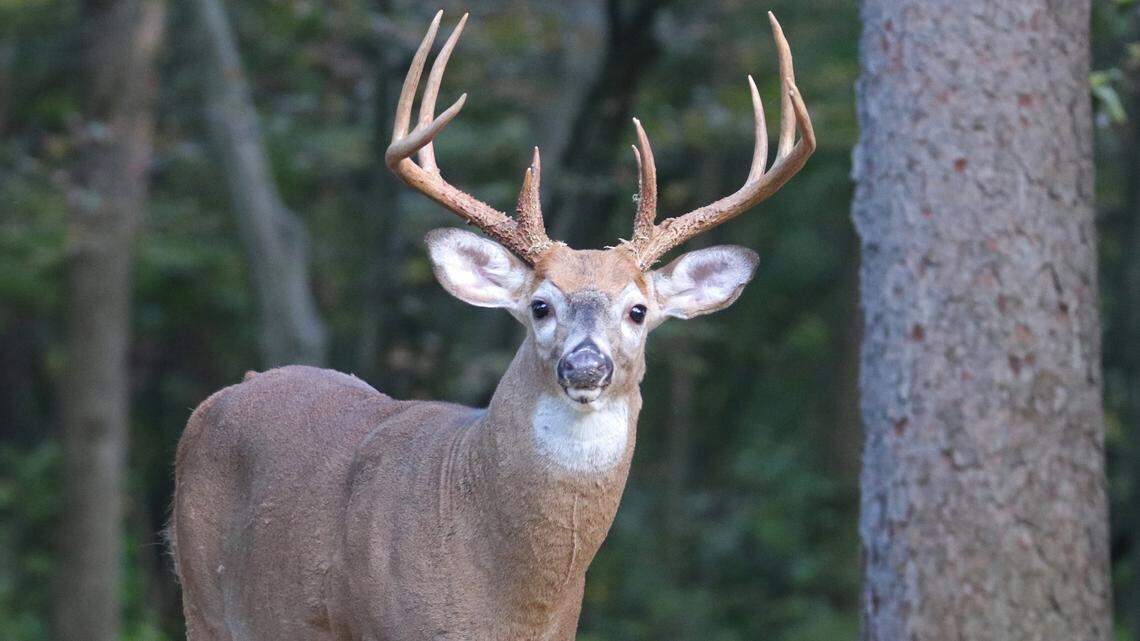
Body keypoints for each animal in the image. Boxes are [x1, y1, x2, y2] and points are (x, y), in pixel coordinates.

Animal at [170, 9, 813, 641]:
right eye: (540, 306)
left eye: (638, 310)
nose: (586, 365)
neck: (506, 600)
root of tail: (228, 393)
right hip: (201, 599)